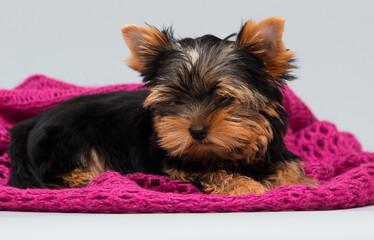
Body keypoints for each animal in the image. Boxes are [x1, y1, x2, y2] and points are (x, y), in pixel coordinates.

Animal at [6, 17, 316, 196]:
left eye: (224, 99)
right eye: (175, 101)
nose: (197, 131)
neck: (229, 153)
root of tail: (30, 122)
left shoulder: (273, 150)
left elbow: (289, 165)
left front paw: (301, 183)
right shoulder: (178, 165)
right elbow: (213, 172)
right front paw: (246, 185)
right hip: (67, 140)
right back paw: (93, 177)